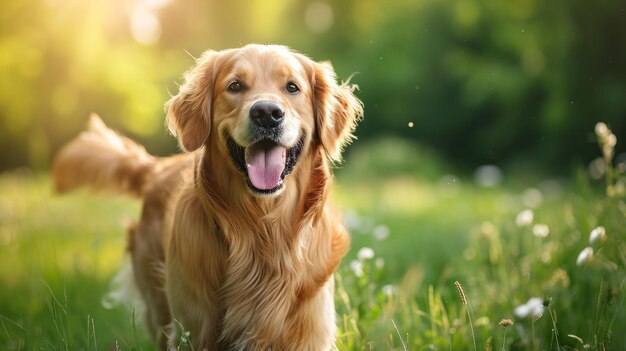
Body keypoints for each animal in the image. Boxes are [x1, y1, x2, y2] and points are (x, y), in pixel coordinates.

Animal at [54, 45, 366, 350]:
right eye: (235, 85)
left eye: (292, 87)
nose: (266, 113)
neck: (263, 230)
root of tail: (159, 167)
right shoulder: (193, 329)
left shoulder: (309, 331)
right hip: (159, 307)